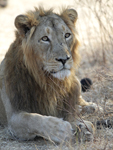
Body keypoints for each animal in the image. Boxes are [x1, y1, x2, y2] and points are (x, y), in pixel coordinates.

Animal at [0, 7, 98, 143]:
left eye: (67, 35)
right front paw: (62, 129)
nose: (64, 59)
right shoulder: (14, 117)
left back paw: (90, 106)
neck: (47, 81)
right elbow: (34, 119)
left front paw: (83, 127)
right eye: (45, 38)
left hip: (76, 82)